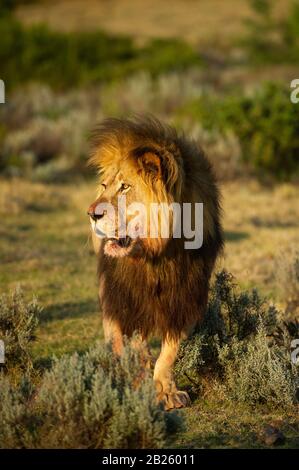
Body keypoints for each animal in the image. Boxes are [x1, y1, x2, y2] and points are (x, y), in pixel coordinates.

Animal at [86, 115, 223, 410]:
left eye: (125, 186)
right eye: (104, 186)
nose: (91, 214)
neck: (156, 257)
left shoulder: (185, 299)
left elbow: (170, 352)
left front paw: (166, 390)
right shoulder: (126, 300)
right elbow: (134, 344)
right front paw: (140, 384)